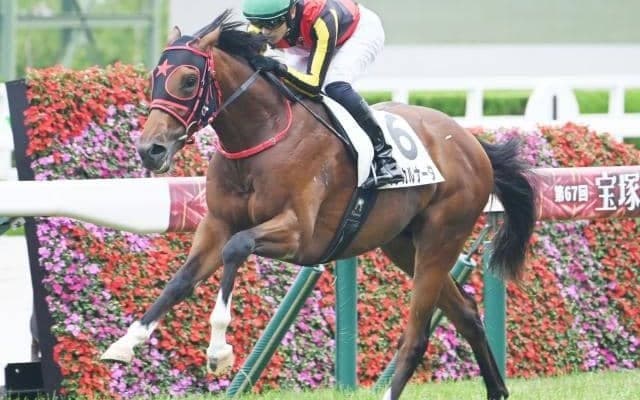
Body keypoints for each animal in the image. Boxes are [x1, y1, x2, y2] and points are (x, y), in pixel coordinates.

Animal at [101, 10, 536, 400]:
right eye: (155, 77)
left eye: (189, 80)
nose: (150, 150)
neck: (261, 136)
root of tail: (470, 142)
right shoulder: (216, 224)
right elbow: (180, 280)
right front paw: (125, 343)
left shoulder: (298, 234)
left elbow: (237, 247)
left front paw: (219, 350)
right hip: (403, 245)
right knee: (466, 313)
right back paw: (497, 390)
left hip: (440, 239)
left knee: (416, 336)